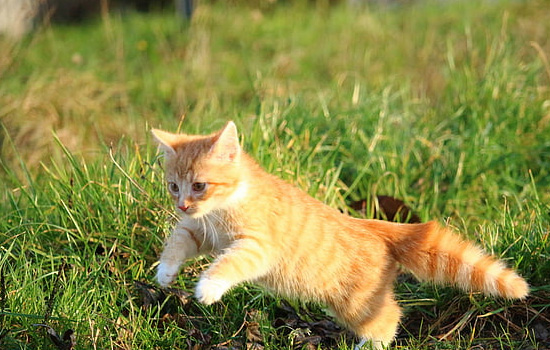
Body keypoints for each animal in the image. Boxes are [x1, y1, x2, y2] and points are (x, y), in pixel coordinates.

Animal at [151, 121, 532, 348]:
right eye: (173, 186)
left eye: (199, 186)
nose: (183, 204)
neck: (227, 204)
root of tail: (372, 224)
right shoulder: (200, 231)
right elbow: (178, 241)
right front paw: (166, 274)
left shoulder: (257, 247)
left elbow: (228, 263)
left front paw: (208, 287)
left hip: (356, 302)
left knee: (389, 319)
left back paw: (369, 346)